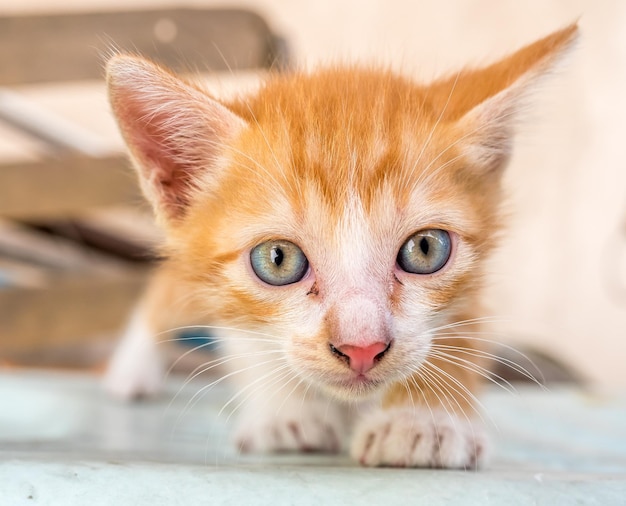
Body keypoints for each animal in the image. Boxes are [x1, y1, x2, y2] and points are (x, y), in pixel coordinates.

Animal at [101, 22, 576, 466]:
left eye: (425, 249)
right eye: (278, 259)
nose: (362, 348)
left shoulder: (470, 291)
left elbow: (457, 335)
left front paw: (424, 420)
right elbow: (251, 342)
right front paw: (286, 413)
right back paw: (131, 373)